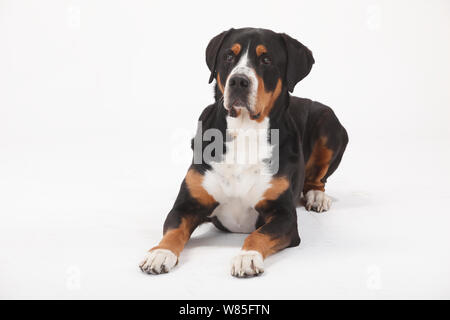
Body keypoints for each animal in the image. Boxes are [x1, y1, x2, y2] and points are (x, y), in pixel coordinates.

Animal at [140, 27, 348, 278]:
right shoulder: (187, 204)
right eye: (229, 56)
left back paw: (317, 196)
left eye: (266, 59)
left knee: (318, 178)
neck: (245, 131)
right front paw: (160, 253)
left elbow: (260, 234)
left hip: (329, 122)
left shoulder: (284, 215)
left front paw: (246, 257)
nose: (239, 81)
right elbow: (173, 229)